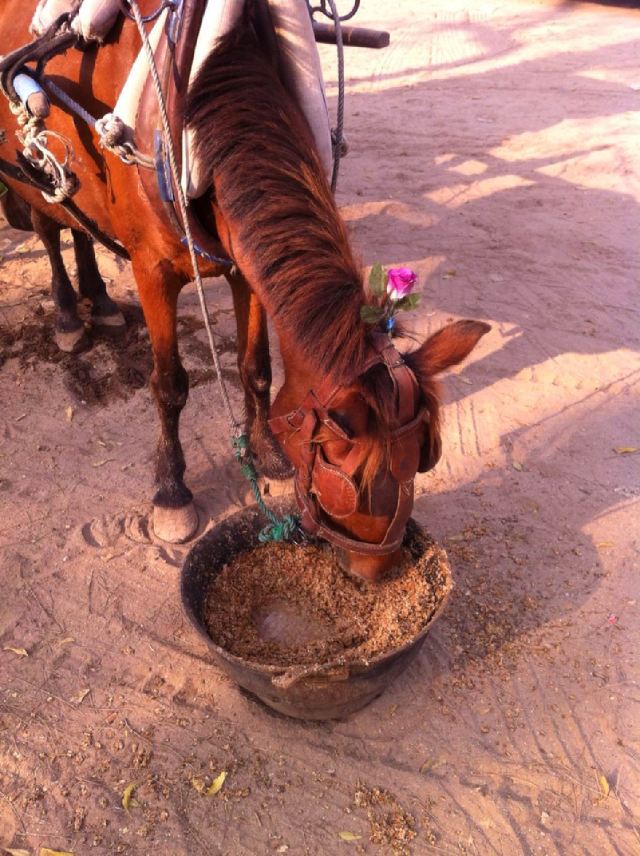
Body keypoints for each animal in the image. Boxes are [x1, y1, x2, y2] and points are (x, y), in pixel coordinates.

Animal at [1, 3, 490, 580]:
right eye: (347, 484)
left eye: (424, 458)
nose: (377, 572)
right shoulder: (152, 270)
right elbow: (170, 386)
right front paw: (172, 492)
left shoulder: (244, 265)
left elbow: (255, 367)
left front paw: (266, 450)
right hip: (27, 172)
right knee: (49, 225)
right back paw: (69, 317)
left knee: (80, 226)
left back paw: (99, 301)